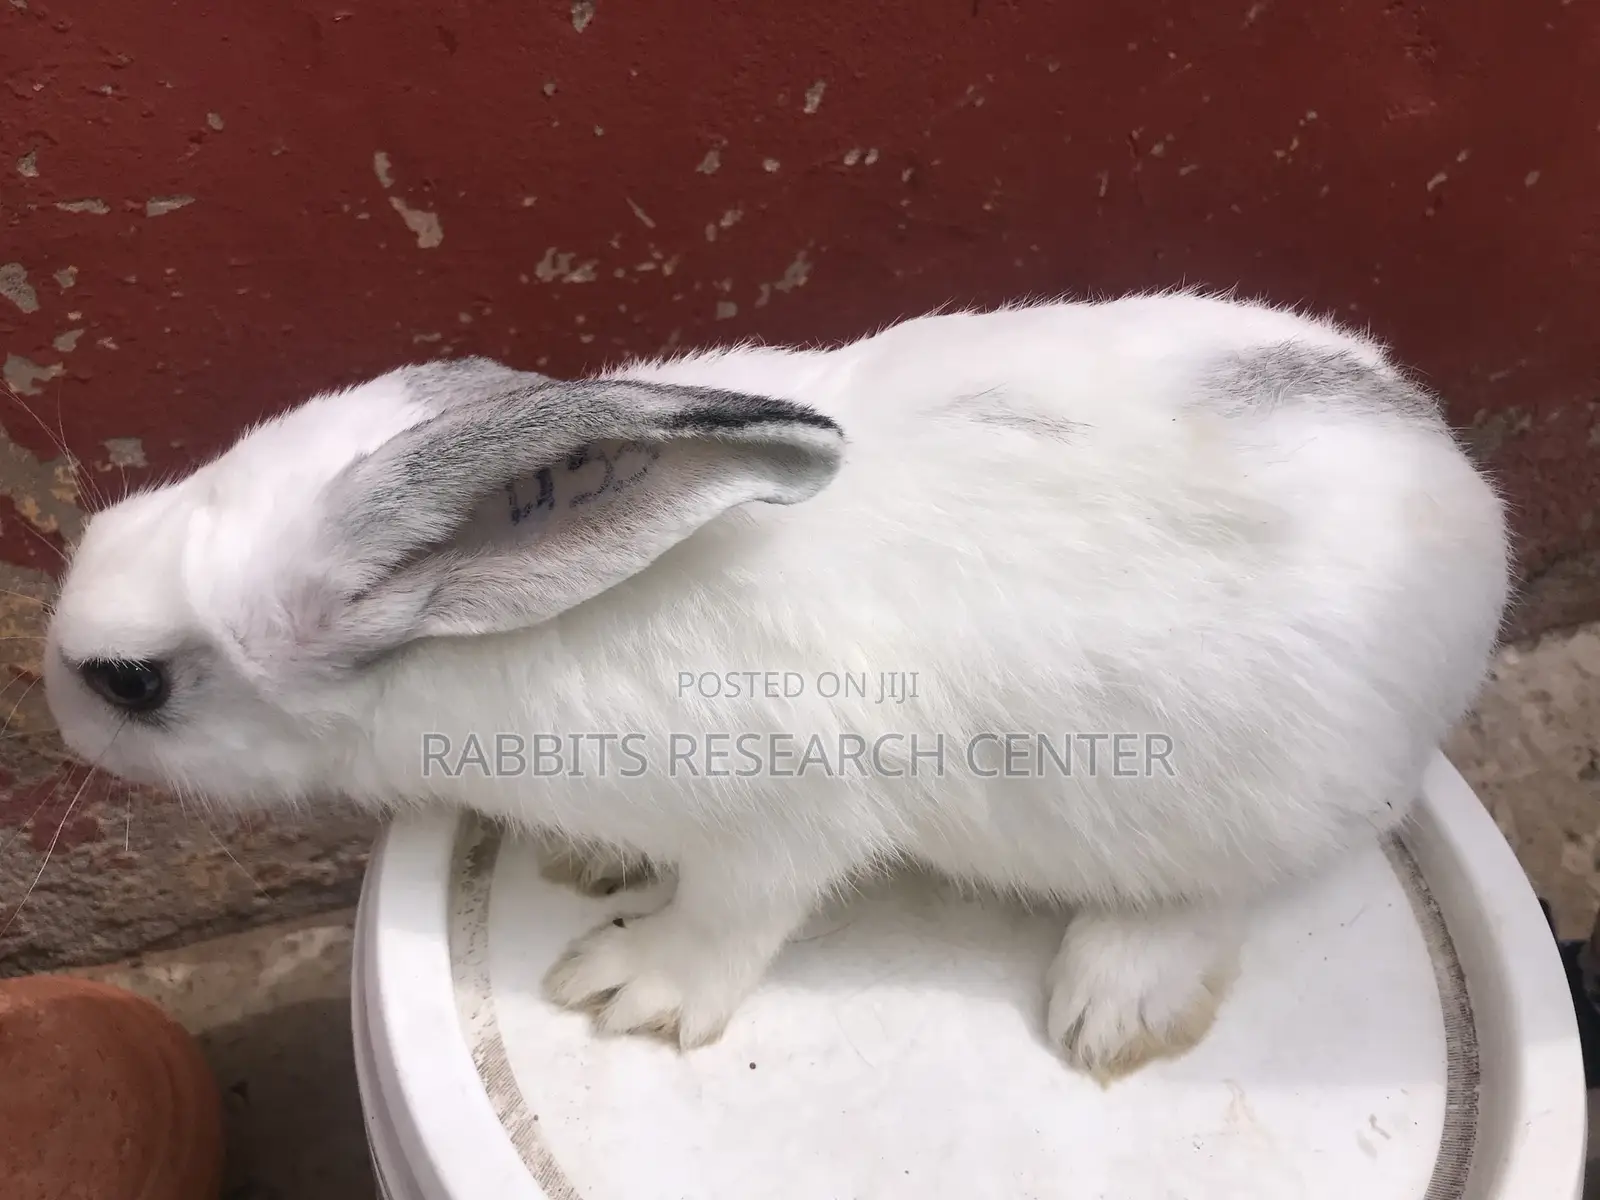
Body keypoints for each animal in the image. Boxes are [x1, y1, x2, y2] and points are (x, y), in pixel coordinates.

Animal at [41, 290, 1510, 1080]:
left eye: (135, 684)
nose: (50, 683)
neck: (489, 626)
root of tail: (1461, 496)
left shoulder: (782, 825)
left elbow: (728, 922)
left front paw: (627, 987)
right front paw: (583, 861)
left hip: (1253, 801)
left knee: (1234, 888)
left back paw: (1116, 998)